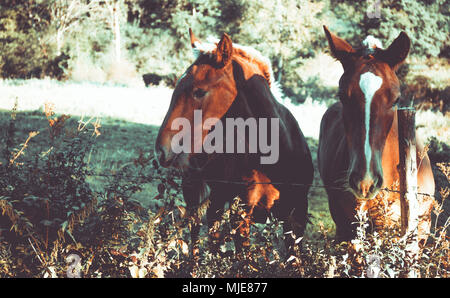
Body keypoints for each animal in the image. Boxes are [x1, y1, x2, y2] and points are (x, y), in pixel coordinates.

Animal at [155, 29, 312, 254]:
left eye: (199, 91)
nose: (161, 150)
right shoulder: (242, 214)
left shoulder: (297, 214)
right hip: (194, 191)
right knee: (196, 233)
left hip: (218, 198)